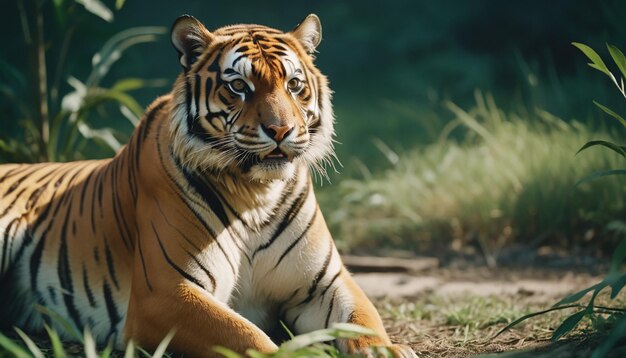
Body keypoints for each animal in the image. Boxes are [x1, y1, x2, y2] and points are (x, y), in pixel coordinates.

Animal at [1, 12, 414, 356]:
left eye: (294, 84)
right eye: (239, 86)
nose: (280, 130)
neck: (258, 194)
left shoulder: (326, 281)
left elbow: (363, 319)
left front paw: (386, 350)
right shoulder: (165, 292)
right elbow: (248, 336)